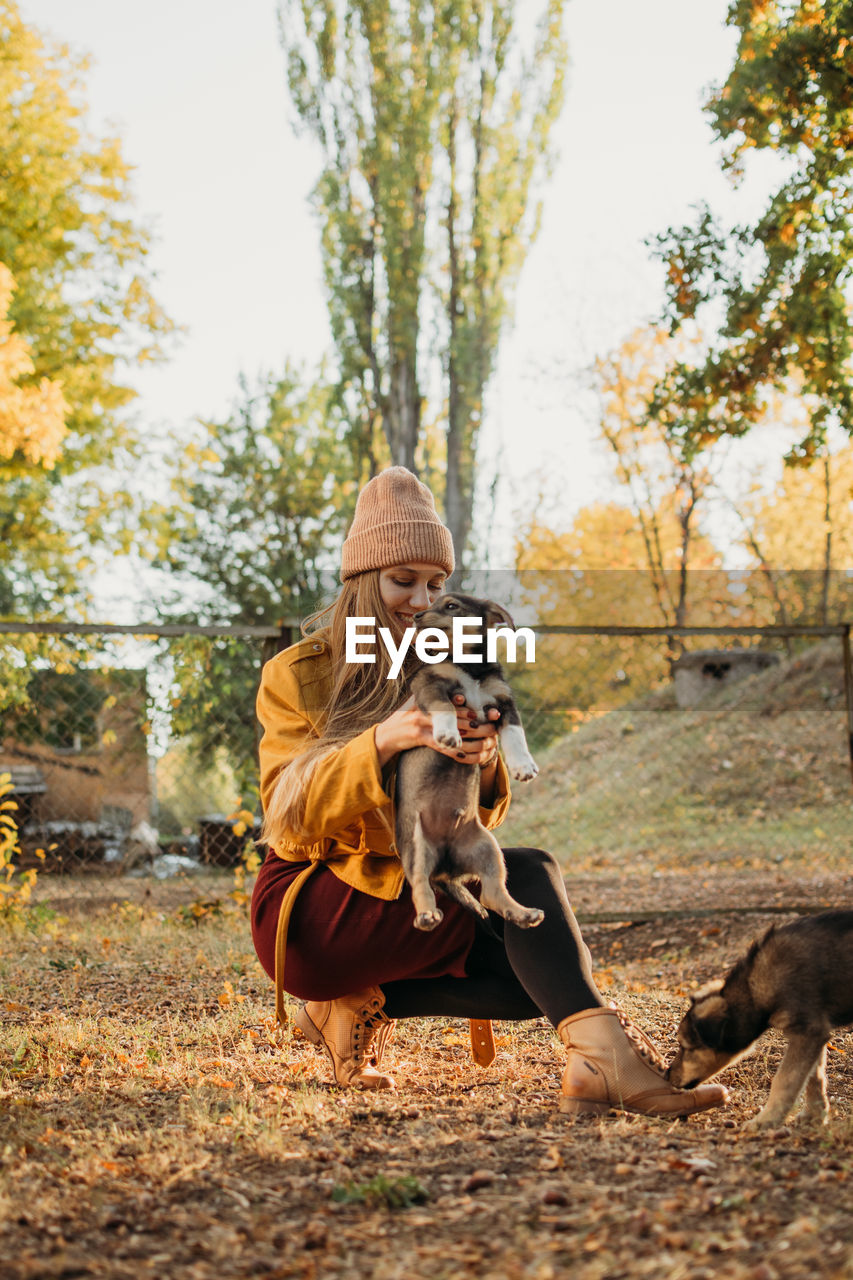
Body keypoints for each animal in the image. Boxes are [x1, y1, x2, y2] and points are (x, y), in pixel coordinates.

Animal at [394, 593, 540, 936]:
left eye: (451, 606)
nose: (417, 616)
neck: (468, 666)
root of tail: (446, 869)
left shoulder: (504, 704)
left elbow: (516, 736)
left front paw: (523, 766)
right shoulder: (431, 686)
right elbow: (445, 707)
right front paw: (448, 734)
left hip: (487, 848)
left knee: (492, 893)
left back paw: (524, 913)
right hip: (416, 848)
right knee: (420, 885)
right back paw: (427, 916)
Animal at [666, 911, 850, 1131]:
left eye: (686, 1047)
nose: (667, 1075)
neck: (754, 988)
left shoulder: (807, 1031)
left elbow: (785, 1080)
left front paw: (766, 1120)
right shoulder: (815, 1030)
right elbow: (814, 1076)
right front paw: (815, 1116)